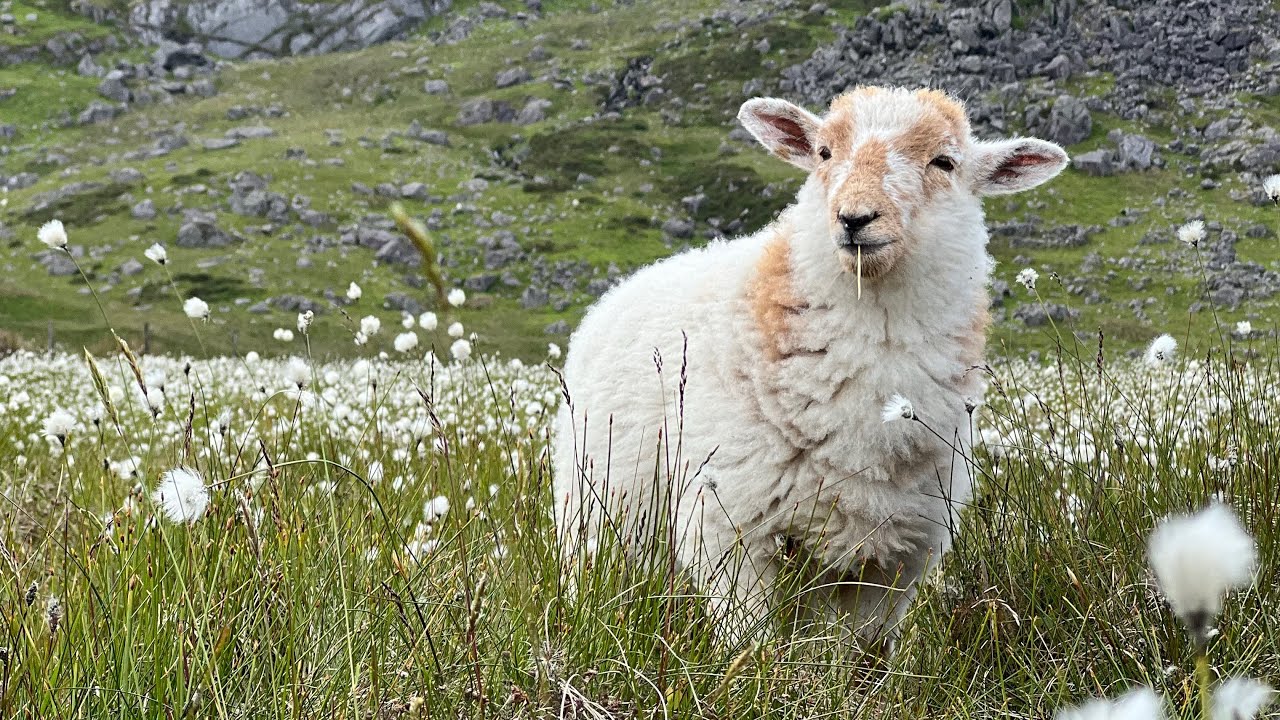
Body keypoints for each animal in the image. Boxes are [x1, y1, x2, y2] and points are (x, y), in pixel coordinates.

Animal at [553, 86, 1067, 645]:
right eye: (823, 152)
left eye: (944, 162)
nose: (855, 218)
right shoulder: (728, 529)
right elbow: (750, 641)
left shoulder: (898, 556)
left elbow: (856, 655)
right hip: (596, 511)